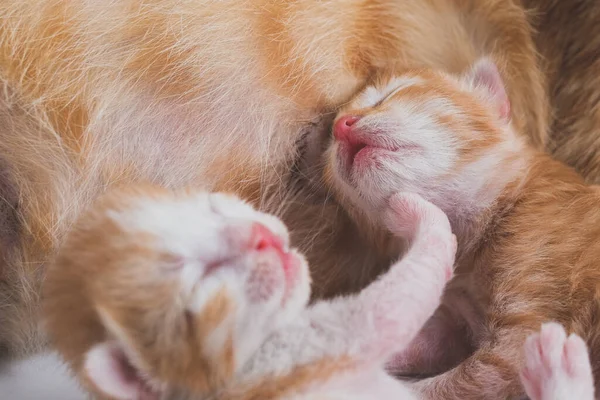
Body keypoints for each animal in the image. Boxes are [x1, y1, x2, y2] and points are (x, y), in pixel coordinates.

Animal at [326, 57, 600, 398]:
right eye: (330, 142)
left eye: (393, 93)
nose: (341, 125)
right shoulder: (454, 326)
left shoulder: (524, 336)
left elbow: (433, 389)